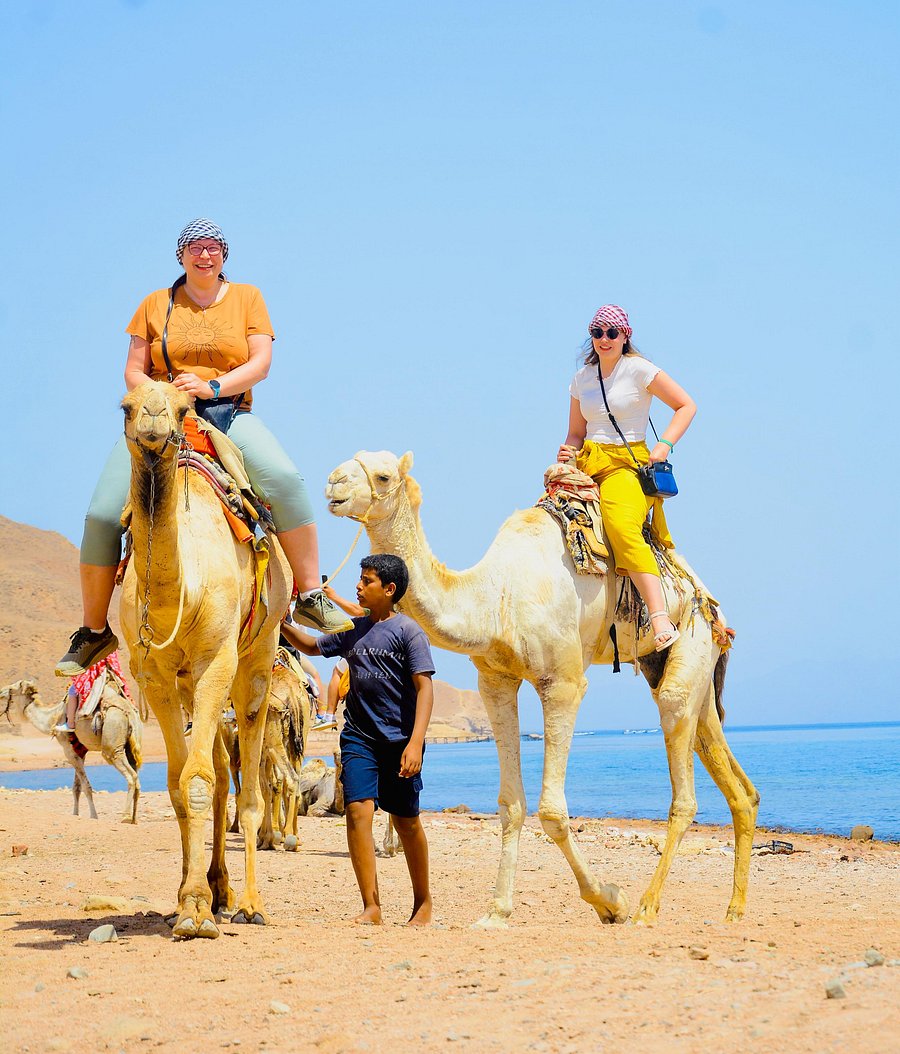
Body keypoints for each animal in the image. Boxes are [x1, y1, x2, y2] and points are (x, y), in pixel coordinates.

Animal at [0, 678, 143, 823]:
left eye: (12, 688)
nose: (1, 692)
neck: (53, 718)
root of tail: (129, 713)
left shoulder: (68, 750)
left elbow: (86, 787)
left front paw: (94, 816)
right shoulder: (79, 751)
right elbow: (76, 787)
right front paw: (75, 814)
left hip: (112, 745)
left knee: (130, 775)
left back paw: (125, 817)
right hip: (131, 745)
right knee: (136, 773)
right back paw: (134, 819)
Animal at [120, 381, 291, 939]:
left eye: (180, 407)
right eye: (126, 406)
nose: (154, 424)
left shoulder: (217, 660)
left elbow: (196, 780)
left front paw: (197, 911)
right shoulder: (154, 675)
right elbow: (180, 783)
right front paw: (188, 900)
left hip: (257, 660)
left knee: (250, 788)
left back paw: (250, 903)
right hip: (190, 683)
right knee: (217, 767)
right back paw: (219, 889)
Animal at [325, 450, 759, 927]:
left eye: (383, 475)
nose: (332, 483)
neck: (496, 598)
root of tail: (710, 603)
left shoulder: (563, 682)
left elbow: (551, 811)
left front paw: (611, 901)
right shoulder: (495, 680)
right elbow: (511, 805)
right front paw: (497, 911)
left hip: (690, 637)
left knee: (678, 746)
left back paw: (647, 907)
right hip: (674, 664)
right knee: (728, 767)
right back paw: (735, 908)